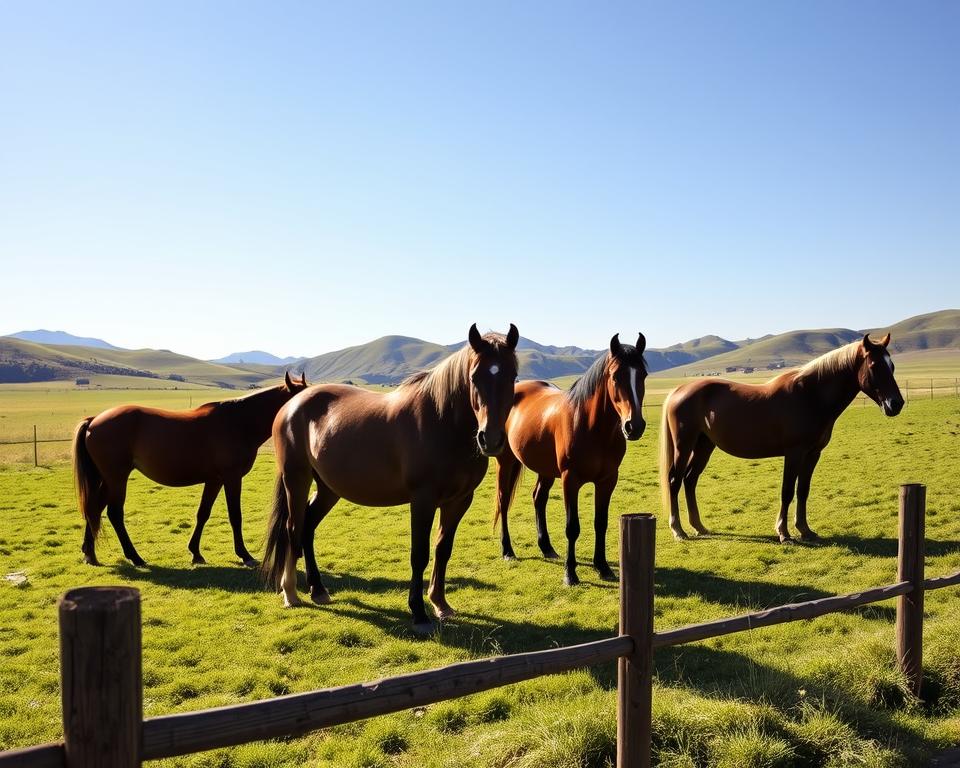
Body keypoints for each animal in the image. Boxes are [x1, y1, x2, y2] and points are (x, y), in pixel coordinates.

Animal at [73, 372, 308, 567]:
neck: (239, 423)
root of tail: (94, 420)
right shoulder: (232, 478)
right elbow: (235, 515)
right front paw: (245, 555)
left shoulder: (215, 480)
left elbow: (203, 513)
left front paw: (195, 552)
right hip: (116, 478)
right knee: (114, 514)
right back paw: (135, 557)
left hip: (107, 479)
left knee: (94, 509)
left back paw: (90, 554)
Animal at [262, 323, 519, 634]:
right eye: (474, 376)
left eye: (513, 376)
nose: (490, 439)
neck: (443, 422)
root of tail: (292, 405)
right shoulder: (423, 500)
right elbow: (419, 553)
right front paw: (419, 613)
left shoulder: (459, 501)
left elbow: (443, 549)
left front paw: (441, 604)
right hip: (296, 480)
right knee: (293, 528)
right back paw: (290, 593)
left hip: (328, 489)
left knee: (307, 527)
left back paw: (318, 590)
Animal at [493, 333, 647, 586]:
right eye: (616, 376)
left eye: (643, 374)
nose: (634, 426)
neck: (593, 428)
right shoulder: (570, 480)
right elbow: (572, 527)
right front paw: (570, 573)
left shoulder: (607, 480)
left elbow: (601, 522)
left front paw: (603, 567)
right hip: (505, 462)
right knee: (504, 501)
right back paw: (507, 551)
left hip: (545, 469)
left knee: (538, 498)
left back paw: (547, 547)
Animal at [659, 333, 904, 542]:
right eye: (874, 366)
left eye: (892, 365)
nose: (896, 404)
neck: (811, 395)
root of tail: (679, 390)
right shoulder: (794, 453)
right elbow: (787, 491)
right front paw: (783, 533)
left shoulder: (812, 454)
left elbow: (802, 490)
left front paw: (805, 530)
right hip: (684, 446)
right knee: (675, 480)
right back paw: (678, 530)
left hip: (704, 445)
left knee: (690, 480)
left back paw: (699, 526)